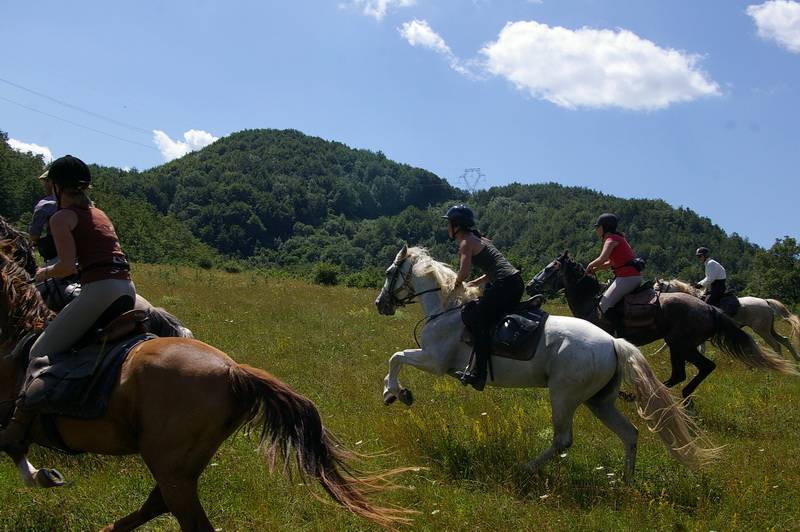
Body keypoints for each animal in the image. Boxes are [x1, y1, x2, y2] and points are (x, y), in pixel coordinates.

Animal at [0, 249, 412, 532]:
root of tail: (233, 370)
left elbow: (15, 445)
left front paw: (37, 475)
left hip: (172, 468)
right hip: (179, 467)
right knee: (157, 504)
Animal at [376, 246, 720, 482]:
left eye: (390, 273)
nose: (381, 304)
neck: (447, 308)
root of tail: (613, 343)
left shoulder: (434, 360)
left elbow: (396, 357)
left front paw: (394, 392)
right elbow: (396, 357)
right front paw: (398, 392)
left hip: (564, 396)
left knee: (563, 440)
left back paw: (525, 468)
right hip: (600, 401)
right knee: (630, 433)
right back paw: (626, 482)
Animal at [656, 278, 800, 362]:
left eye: (657, 288)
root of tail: (766, 301)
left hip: (762, 330)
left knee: (776, 345)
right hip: (769, 329)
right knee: (785, 341)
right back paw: (796, 360)